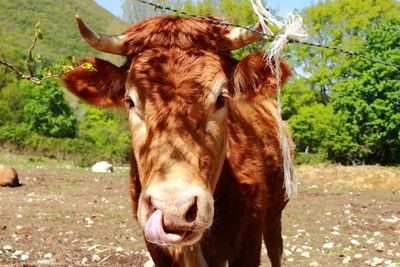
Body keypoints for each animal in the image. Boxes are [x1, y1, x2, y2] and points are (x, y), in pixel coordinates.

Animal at [62, 15, 294, 266]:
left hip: (274, 217)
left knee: (276, 248)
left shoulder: (249, 240)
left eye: (221, 98)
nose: (174, 209)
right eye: (130, 101)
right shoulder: (156, 248)